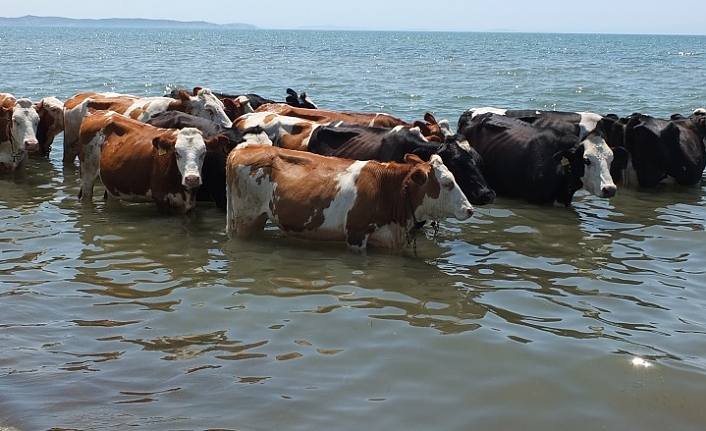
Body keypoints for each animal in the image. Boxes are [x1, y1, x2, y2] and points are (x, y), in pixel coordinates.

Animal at [79, 111, 228, 216]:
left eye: (203, 153)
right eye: (177, 152)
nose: (192, 179)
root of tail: (99, 113)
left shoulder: (188, 205)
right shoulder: (161, 198)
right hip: (87, 171)